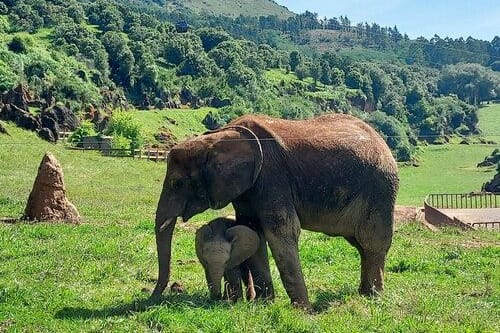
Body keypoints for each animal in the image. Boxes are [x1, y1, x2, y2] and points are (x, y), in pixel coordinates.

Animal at [152, 113, 398, 308]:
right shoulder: (247, 188)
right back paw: (364, 294)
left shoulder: (272, 177)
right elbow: (254, 230)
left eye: (177, 184)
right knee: (360, 244)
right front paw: (264, 304)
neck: (217, 137)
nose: (152, 300)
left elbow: (282, 230)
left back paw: (372, 297)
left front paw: (303, 311)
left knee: (372, 242)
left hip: (380, 188)